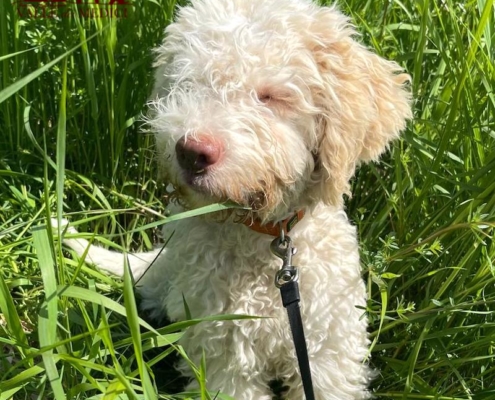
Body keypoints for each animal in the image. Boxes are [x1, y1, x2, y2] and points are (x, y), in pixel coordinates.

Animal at [58, 0, 412, 400]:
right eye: (188, 85)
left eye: (271, 96)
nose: (192, 152)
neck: (265, 241)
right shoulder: (224, 353)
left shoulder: (327, 350)